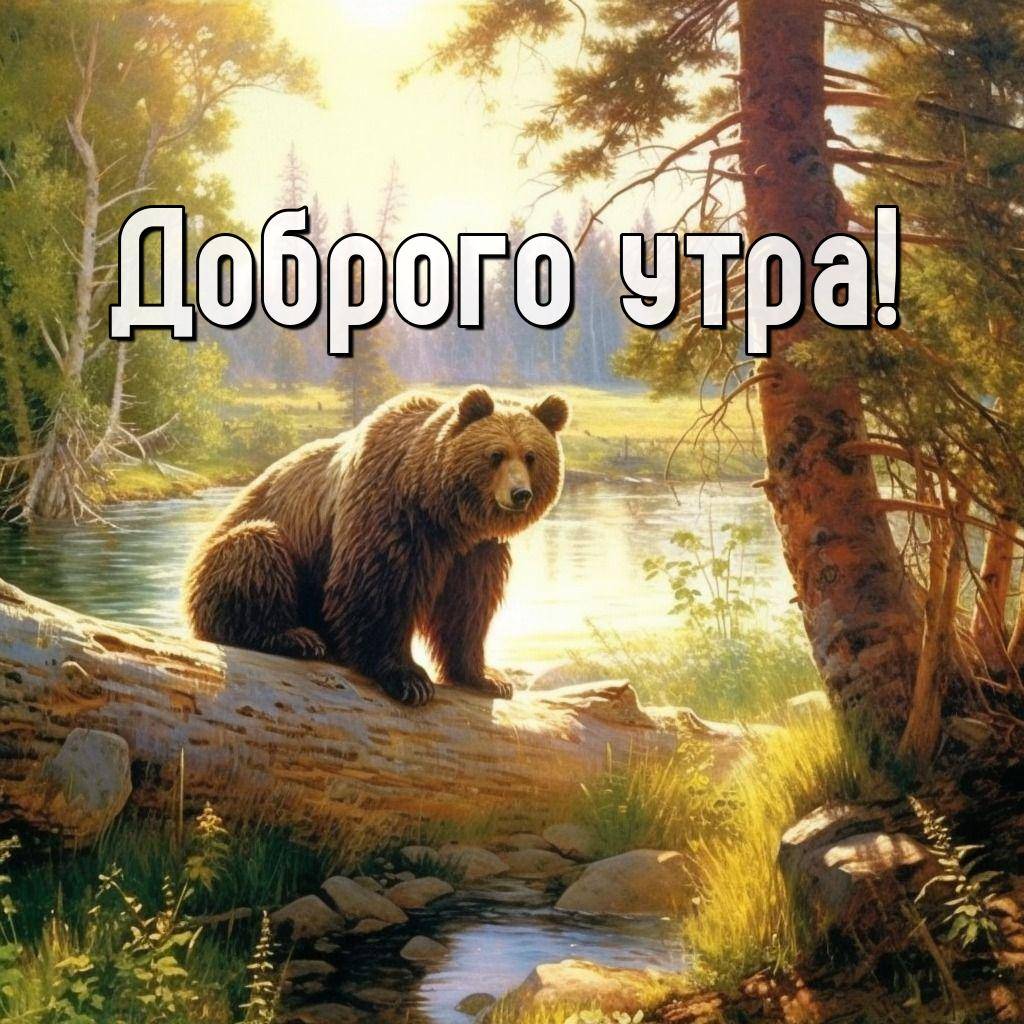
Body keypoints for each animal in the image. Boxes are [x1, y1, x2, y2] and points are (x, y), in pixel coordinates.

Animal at [183, 386, 569, 706]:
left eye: (531, 456)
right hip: (236, 549)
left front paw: (486, 677)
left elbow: (467, 608)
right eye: (496, 454)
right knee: (255, 549)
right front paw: (408, 677)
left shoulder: (475, 551)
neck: (442, 512)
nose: (520, 494)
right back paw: (293, 636)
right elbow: (376, 590)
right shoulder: (389, 516)